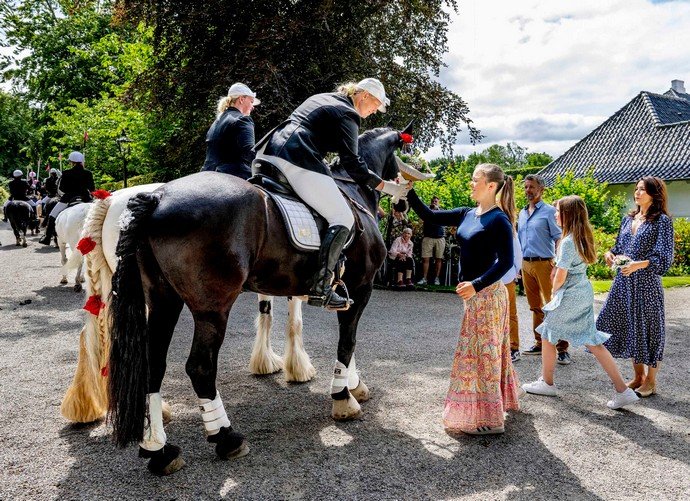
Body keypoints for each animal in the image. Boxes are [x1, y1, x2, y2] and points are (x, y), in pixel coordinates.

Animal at [61, 184, 314, 422]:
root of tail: (110, 199)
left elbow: (266, 315)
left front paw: (265, 361)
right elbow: (294, 322)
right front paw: (298, 368)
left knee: (95, 336)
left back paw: (89, 405)